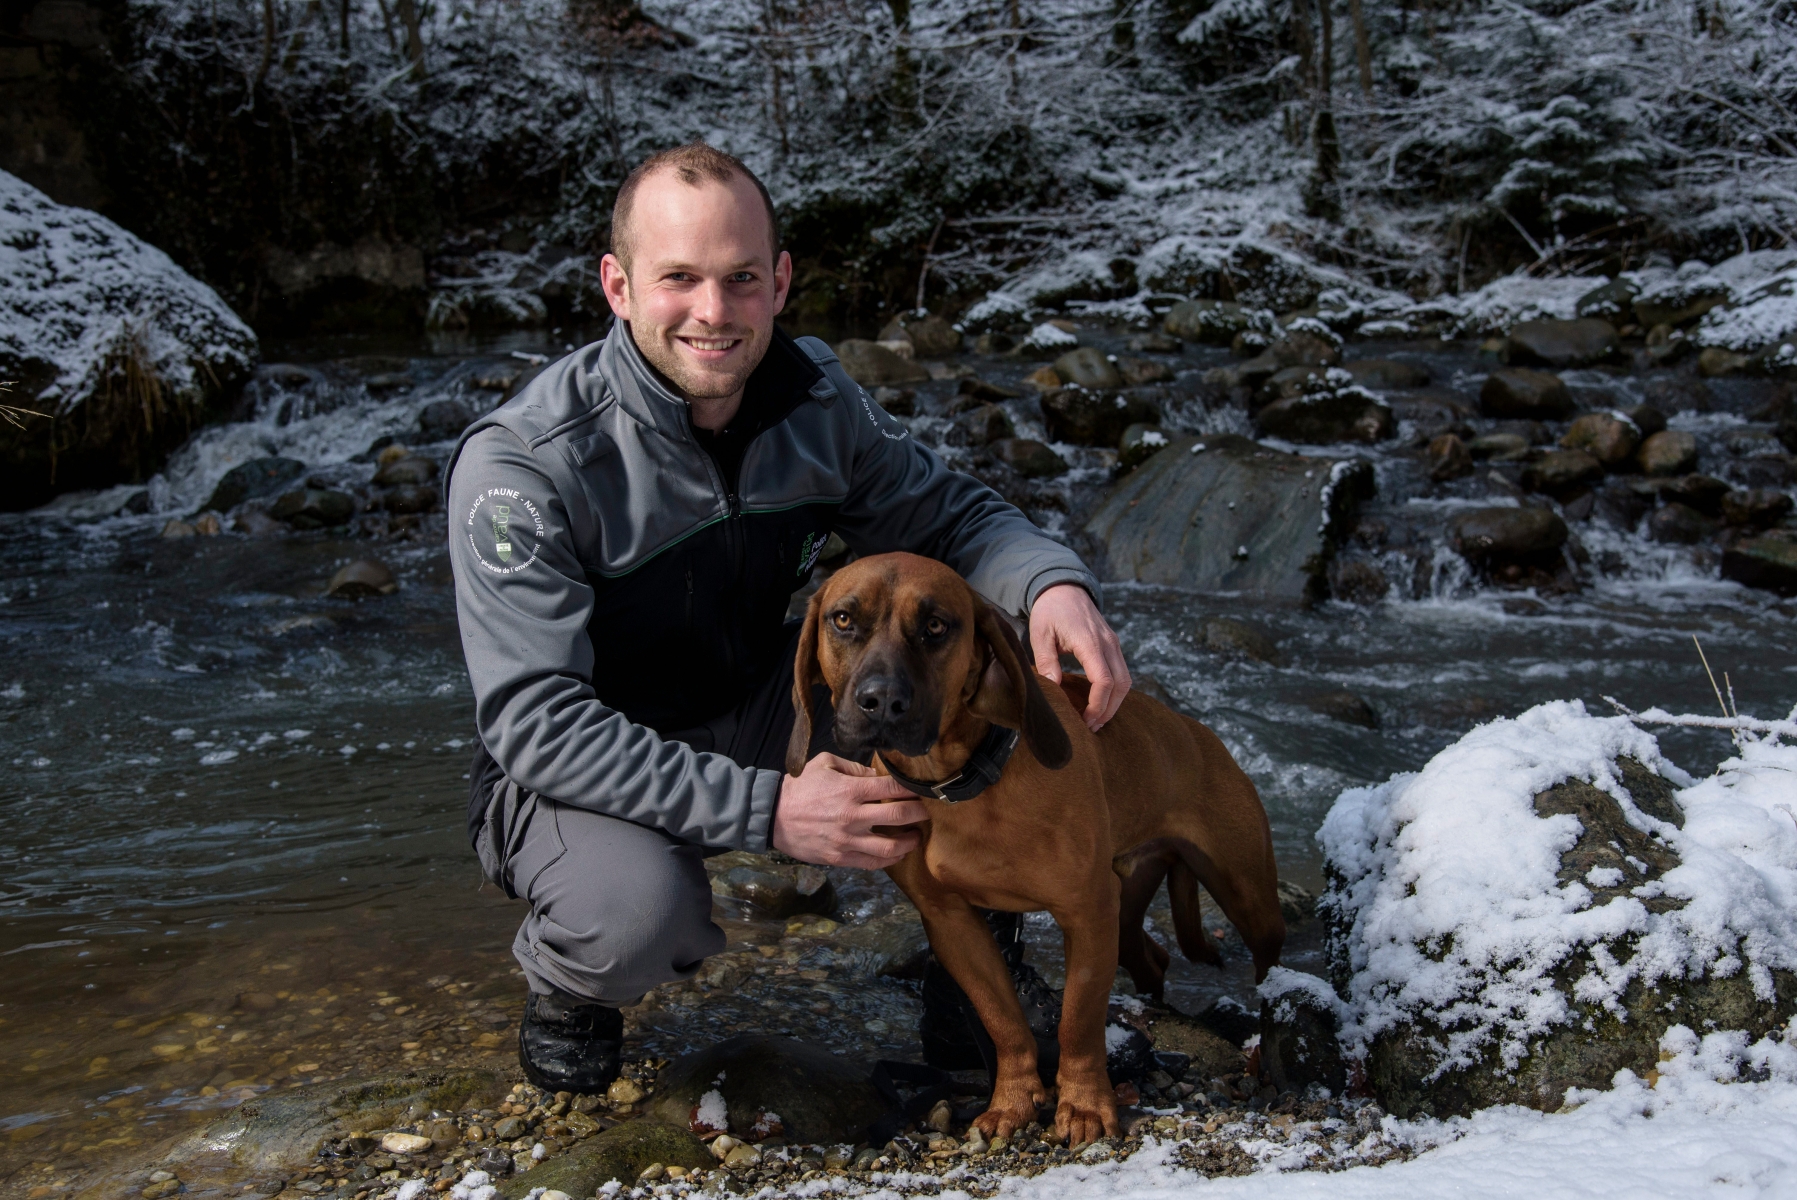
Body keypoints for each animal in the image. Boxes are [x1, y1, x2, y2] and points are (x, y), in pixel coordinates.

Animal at [783, 553, 1279, 1142]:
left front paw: (1084, 1104)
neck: (965, 783)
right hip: (1129, 906)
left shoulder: (1086, 913)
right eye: (842, 620)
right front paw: (1015, 1099)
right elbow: (1003, 1022)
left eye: (936, 626)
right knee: (1152, 959)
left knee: (1269, 969)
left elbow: (1079, 1022)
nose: (881, 702)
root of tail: (1197, 730)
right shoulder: (952, 922)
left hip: (1245, 895)